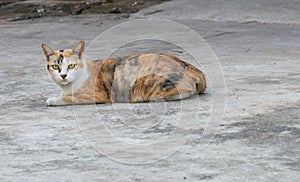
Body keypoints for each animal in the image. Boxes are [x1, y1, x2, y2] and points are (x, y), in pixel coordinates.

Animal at [41, 41, 206, 105]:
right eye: (55, 67)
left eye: (71, 66)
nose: (63, 75)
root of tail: (185, 64)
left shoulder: (95, 96)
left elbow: (68, 98)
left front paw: (53, 99)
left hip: (145, 83)